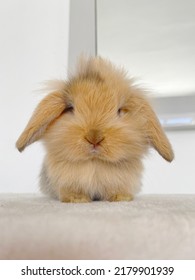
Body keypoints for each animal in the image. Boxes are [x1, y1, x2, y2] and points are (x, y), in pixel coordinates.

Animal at [15, 57, 174, 202]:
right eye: (70, 109)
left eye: (119, 111)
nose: (94, 137)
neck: (94, 163)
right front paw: (77, 199)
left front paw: (120, 198)